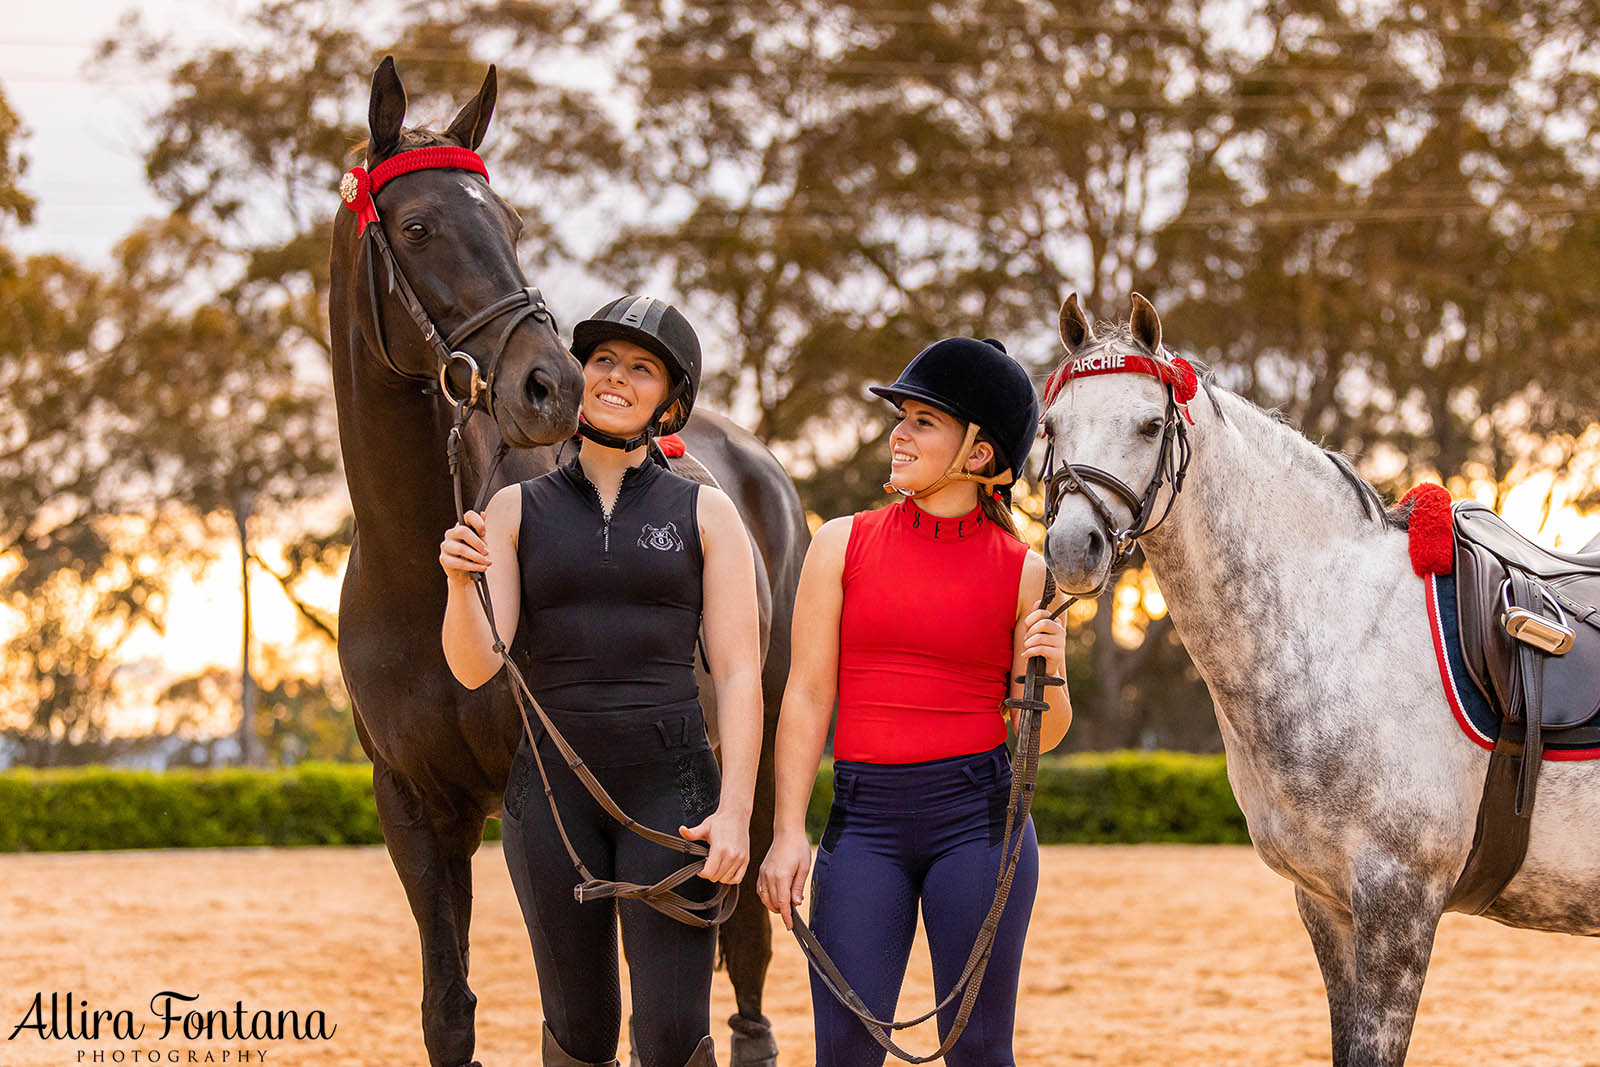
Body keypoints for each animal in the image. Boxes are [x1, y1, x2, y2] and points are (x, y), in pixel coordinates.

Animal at [326, 60, 806, 1067]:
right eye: (418, 227)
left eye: (508, 224)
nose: (553, 383)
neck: (418, 580)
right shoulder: (416, 807)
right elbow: (449, 1011)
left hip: (758, 759)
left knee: (740, 956)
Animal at [1036, 292, 1600, 1067]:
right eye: (1051, 426)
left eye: (1150, 424)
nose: (1072, 548)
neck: (1342, 623)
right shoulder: (1326, 901)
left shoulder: (1399, 900)